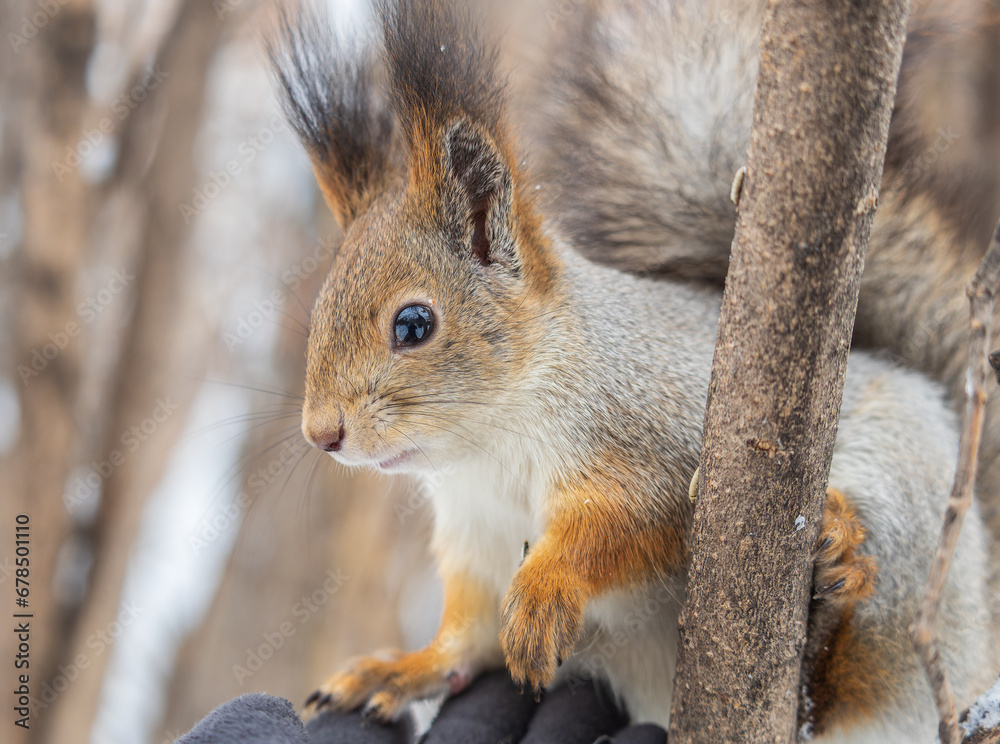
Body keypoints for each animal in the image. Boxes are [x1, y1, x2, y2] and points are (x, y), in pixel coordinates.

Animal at [267, 0, 997, 739]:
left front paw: (545, 589)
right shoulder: (476, 541)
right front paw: (398, 669)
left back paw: (836, 578)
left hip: (904, 506)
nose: (321, 434)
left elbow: (630, 523)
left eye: (413, 324)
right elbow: (463, 645)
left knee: (853, 678)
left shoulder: (657, 432)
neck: (488, 451)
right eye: (321, 306)